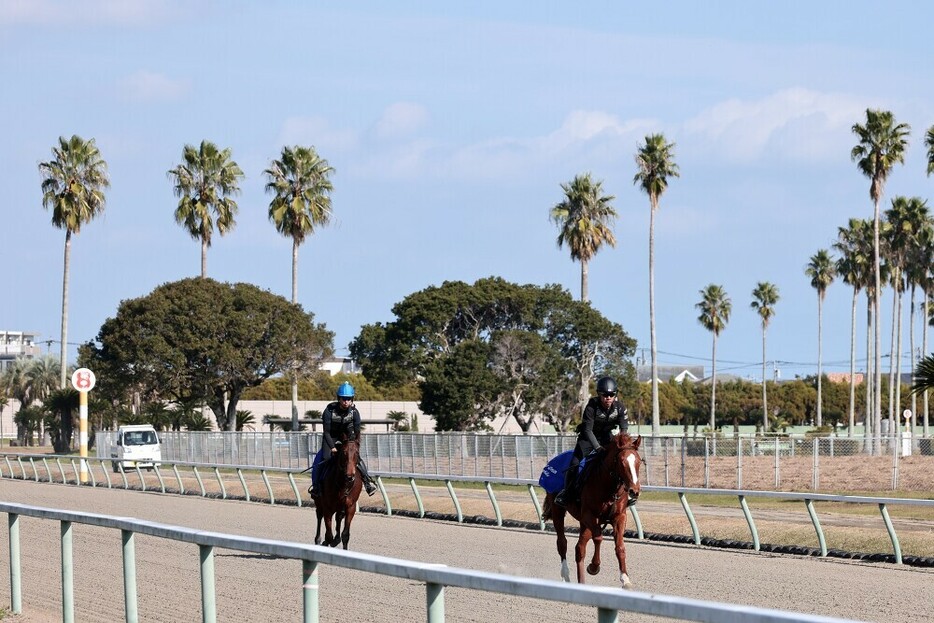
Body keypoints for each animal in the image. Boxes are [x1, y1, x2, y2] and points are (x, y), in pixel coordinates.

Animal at [540, 434, 644, 588]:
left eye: (638, 461)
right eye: (621, 462)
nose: (634, 491)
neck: (608, 487)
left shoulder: (619, 517)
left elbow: (620, 546)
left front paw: (625, 579)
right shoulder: (589, 516)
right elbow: (598, 538)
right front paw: (594, 567)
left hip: (584, 524)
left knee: (579, 548)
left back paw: (581, 581)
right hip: (558, 509)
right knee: (562, 543)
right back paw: (566, 575)